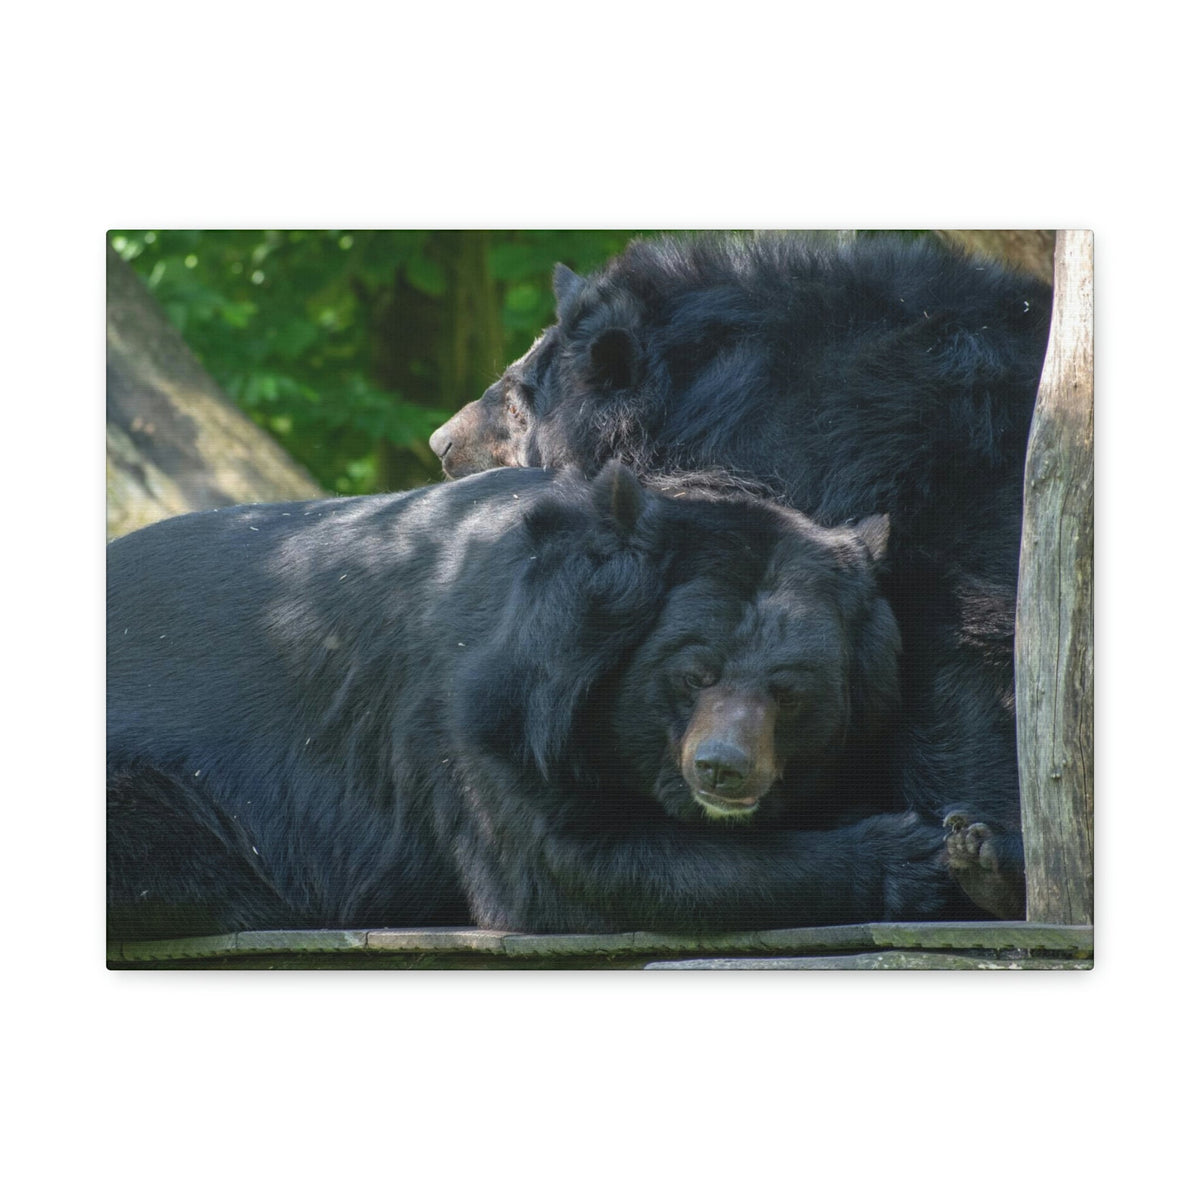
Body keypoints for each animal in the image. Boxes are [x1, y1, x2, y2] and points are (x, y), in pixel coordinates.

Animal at [107, 462, 956, 941]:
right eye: (694, 673)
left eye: (789, 693)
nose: (724, 770)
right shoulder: (483, 713)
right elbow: (571, 866)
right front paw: (914, 855)